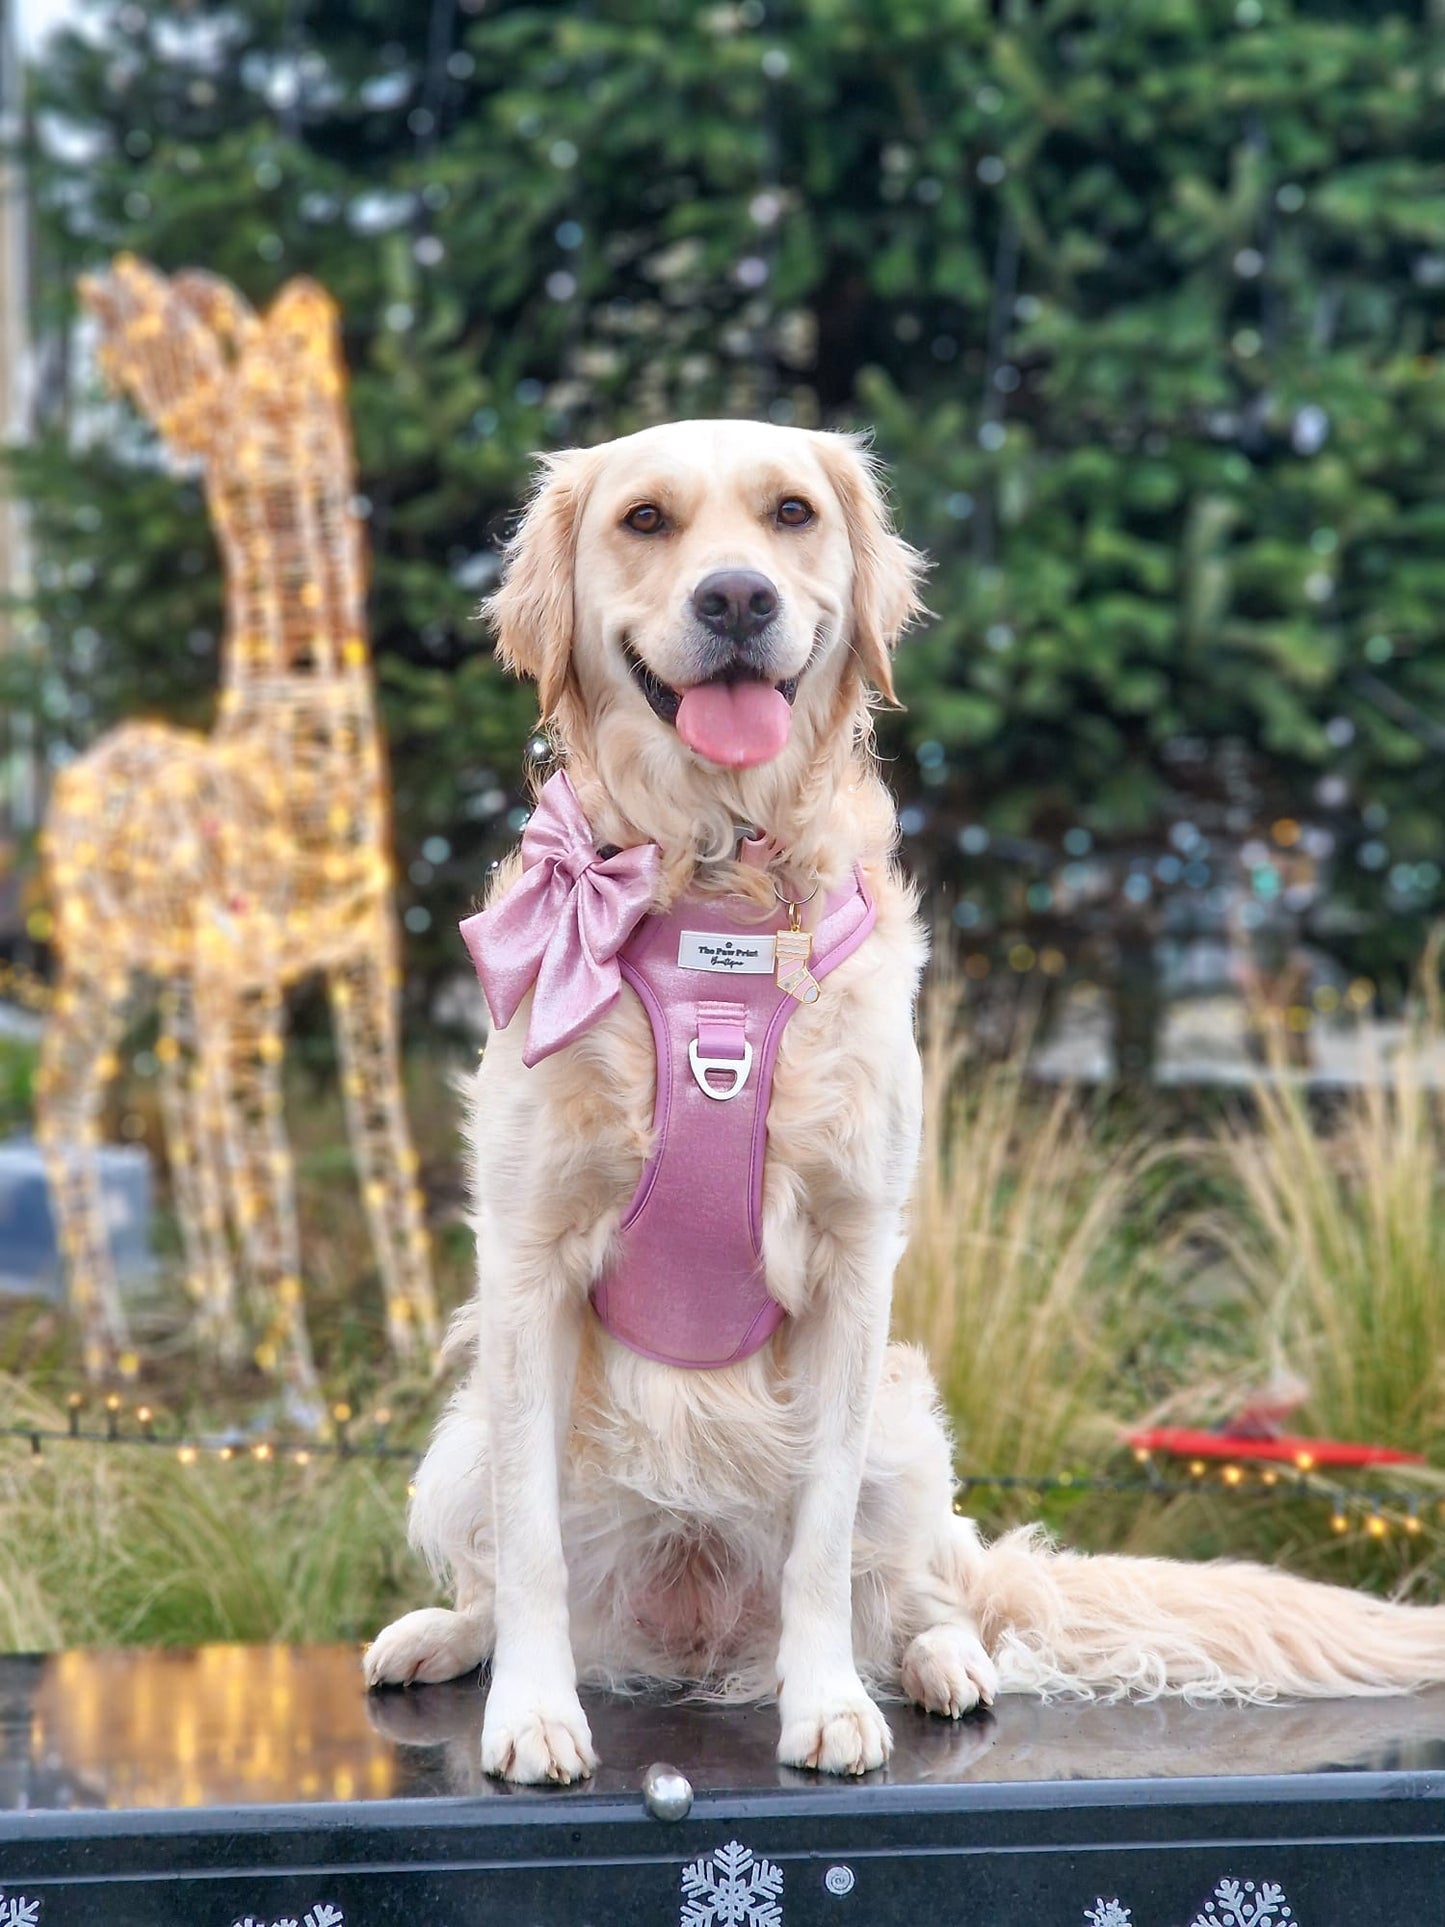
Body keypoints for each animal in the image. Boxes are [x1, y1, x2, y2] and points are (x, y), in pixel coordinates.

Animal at [367, 425, 1445, 1788]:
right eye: (645, 520)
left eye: (789, 513)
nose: (736, 598)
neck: (718, 881)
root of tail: (683, 1627)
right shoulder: (522, 1259)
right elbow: (531, 1549)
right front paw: (532, 1711)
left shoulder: (849, 1264)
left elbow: (822, 1542)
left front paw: (826, 1700)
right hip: (455, 1440)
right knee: (497, 1567)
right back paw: (440, 1637)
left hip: (906, 1432)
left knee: (920, 1592)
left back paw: (938, 1663)